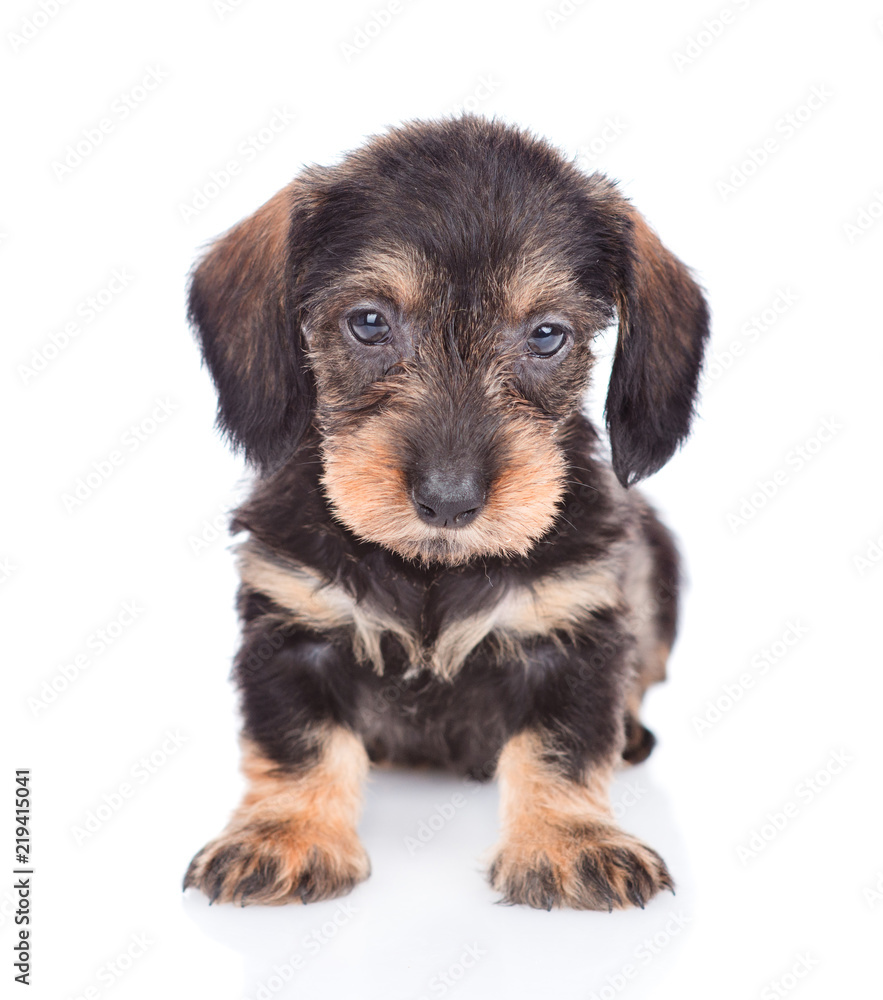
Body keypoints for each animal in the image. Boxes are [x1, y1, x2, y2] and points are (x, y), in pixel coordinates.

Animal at [183, 117, 708, 916]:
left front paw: (569, 843)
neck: (428, 570)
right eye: (368, 322)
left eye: (547, 334)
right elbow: (299, 743)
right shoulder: (290, 629)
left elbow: (560, 747)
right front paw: (285, 836)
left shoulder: (574, 634)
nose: (449, 500)